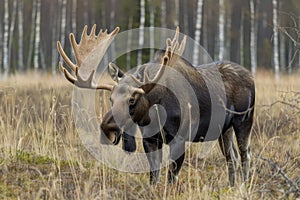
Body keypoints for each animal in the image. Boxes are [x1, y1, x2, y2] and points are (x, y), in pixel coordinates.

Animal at [57, 24, 254, 186]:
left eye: (132, 99)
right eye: (110, 98)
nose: (107, 128)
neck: (156, 113)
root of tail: (250, 75)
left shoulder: (180, 138)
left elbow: (171, 178)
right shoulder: (150, 140)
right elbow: (154, 176)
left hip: (244, 121)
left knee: (245, 155)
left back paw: (243, 187)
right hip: (224, 130)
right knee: (232, 158)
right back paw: (232, 186)